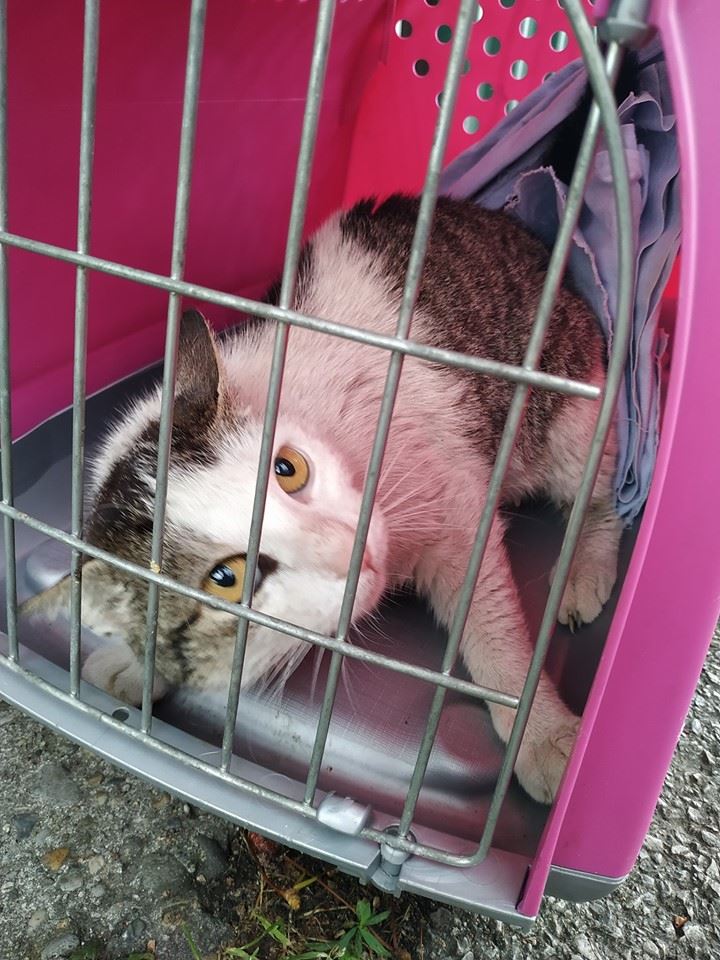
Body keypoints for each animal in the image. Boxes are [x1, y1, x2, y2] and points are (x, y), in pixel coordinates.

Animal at [23, 195, 623, 804]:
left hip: (574, 417)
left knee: (603, 497)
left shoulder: (456, 509)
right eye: (227, 579)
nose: (349, 550)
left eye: (287, 469)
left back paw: (585, 569)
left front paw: (541, 733)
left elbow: (494, 631)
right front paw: (135, 664)